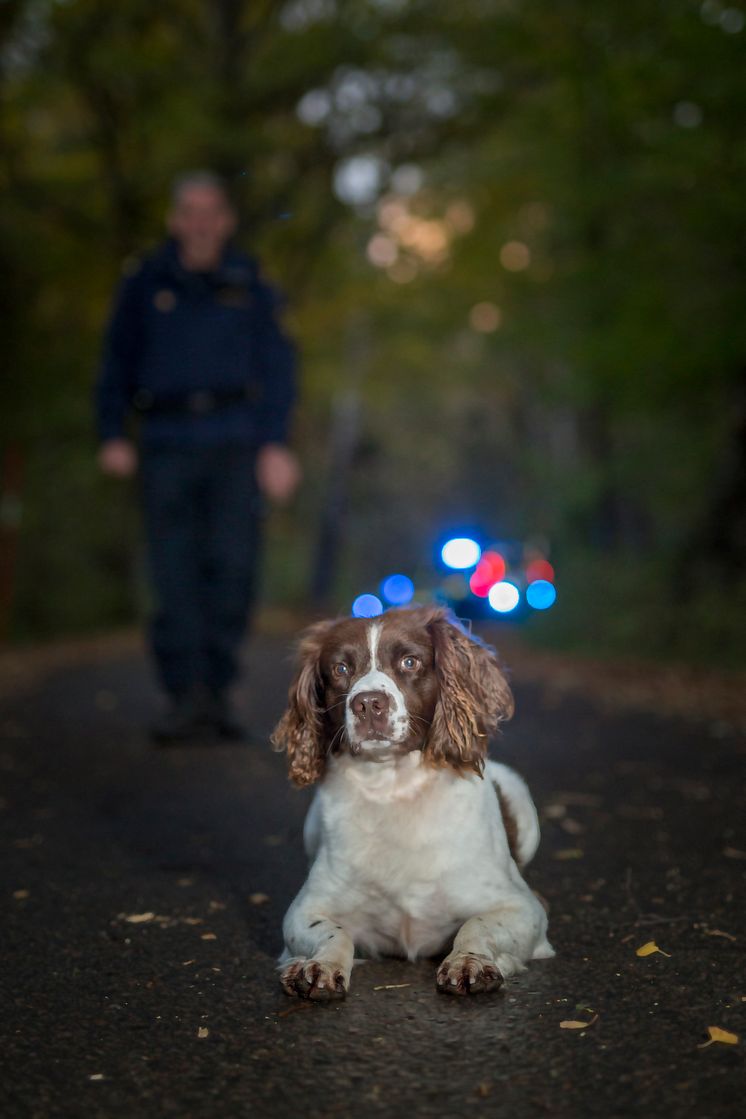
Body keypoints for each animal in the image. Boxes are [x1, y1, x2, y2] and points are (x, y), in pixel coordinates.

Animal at [271, 608, 552, 1002]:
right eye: (340, 668)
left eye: (409, 661)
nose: (368, 703)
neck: (394, 788)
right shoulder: (304, 909)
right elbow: (332, 931)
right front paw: (319, 966)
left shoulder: (522, 908)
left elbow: (478, 924)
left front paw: (470, 961)